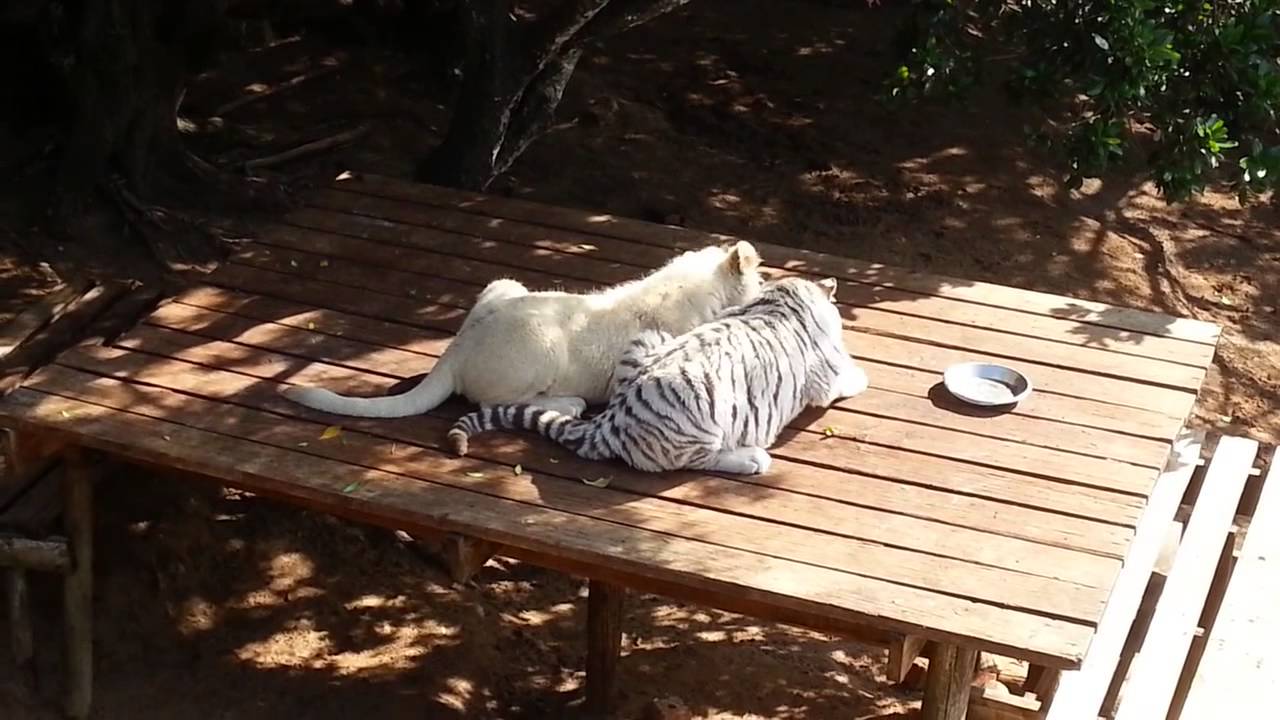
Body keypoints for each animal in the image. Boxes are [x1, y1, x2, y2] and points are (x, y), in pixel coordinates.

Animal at [446, 276, 869, 474]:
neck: (781, 299)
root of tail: (609, 421)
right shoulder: (826, 375)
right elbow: (845, 377)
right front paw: (862, 376)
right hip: (705, 413)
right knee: (700, 460)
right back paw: (752, 459)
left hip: (651, 337)